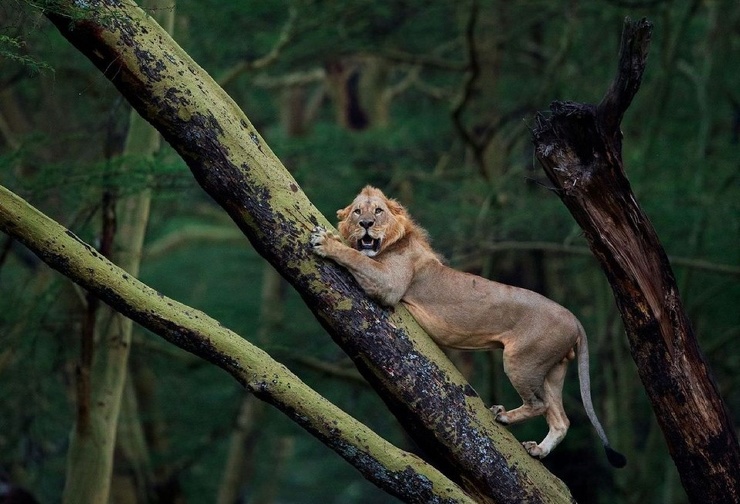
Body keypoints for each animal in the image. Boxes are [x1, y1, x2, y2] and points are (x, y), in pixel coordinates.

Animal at [310, 185, 628, 468]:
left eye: (378, 211)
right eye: (356, 212)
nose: (366, 224)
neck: (392, 244)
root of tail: (575, 319)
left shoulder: (390, 285)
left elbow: (356, 257)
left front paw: (326, 242)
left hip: (522, 359)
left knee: (540, 404)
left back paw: (504, 416)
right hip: (552, 369)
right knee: (561, 418)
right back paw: (538, 450)